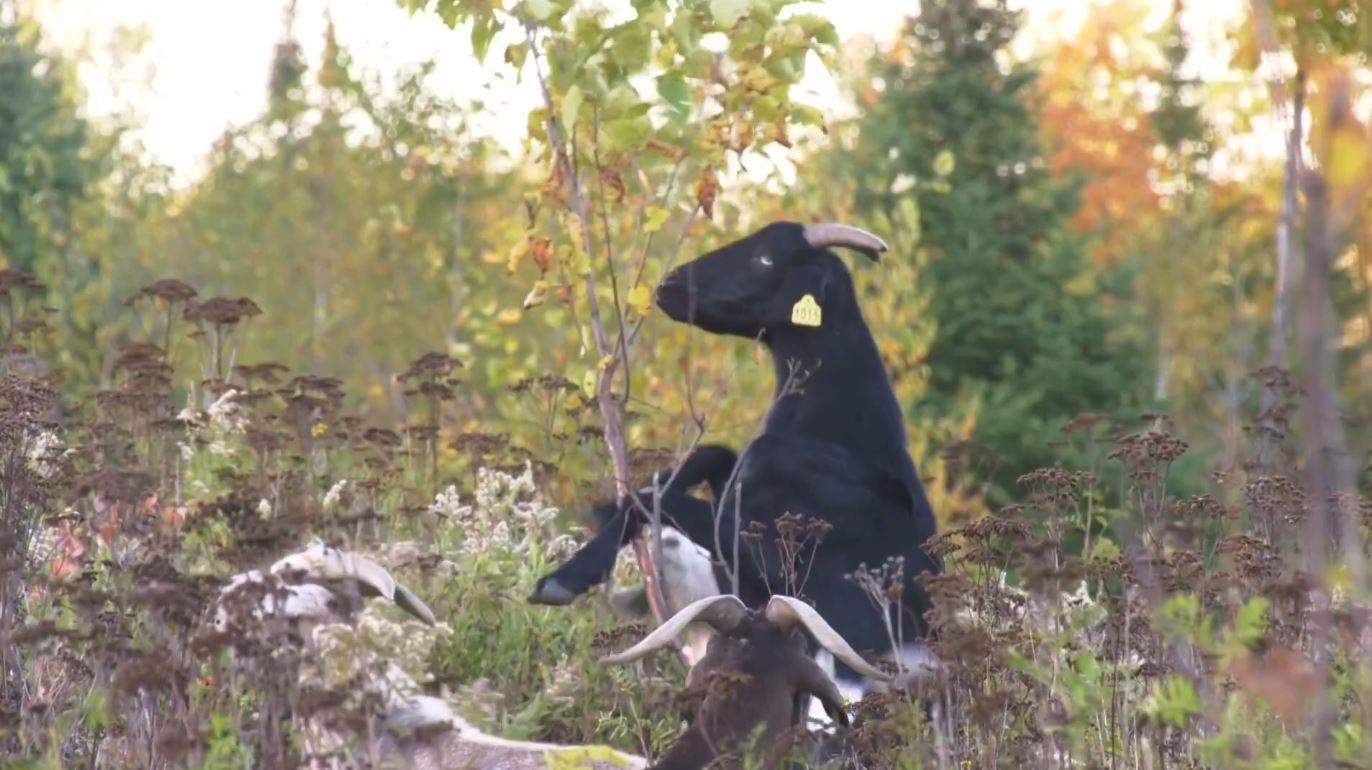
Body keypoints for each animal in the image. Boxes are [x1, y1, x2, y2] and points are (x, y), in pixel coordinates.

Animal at [535, 220, 943, 697]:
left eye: (764, 258)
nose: (671, 283)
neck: (837, 426)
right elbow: (711, 456)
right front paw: (605, 511)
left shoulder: (777, 561)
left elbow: (663, 502)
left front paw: (562, 578)